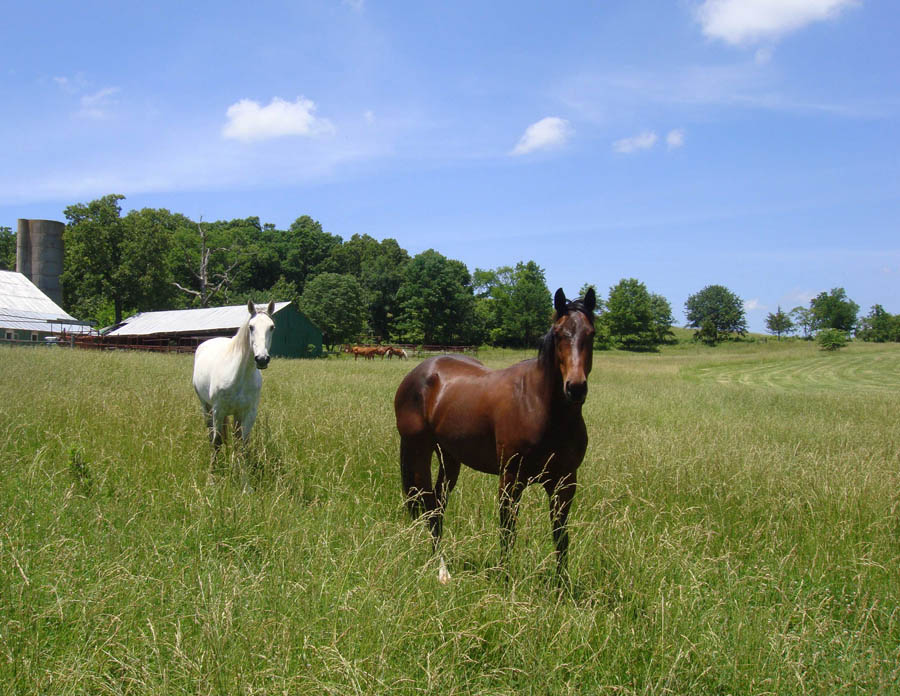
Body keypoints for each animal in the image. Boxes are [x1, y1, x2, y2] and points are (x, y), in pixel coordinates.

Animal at [192, 300, 275, 468]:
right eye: (251, 327)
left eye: (272, 327)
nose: (262, 359)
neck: (239, 376)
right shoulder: (218, 410)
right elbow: (216, 442)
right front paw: (212, 472)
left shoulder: (249, 413)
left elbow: (242, 445)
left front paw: (242, 473)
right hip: (206, 407)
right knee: (211, 434)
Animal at [394, 287, 596, 584]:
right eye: (559, 333)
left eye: (591, 333)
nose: (576, 387)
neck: (540, 406)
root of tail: (420, 372)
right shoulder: (510, 479)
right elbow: (507, 531)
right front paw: (504, 577)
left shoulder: (565, 482)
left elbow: (561, 537)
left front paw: (562, 587)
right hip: (417, 451)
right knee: (428, 505)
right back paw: (441, 568)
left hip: (449, 458)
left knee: (439, 505)